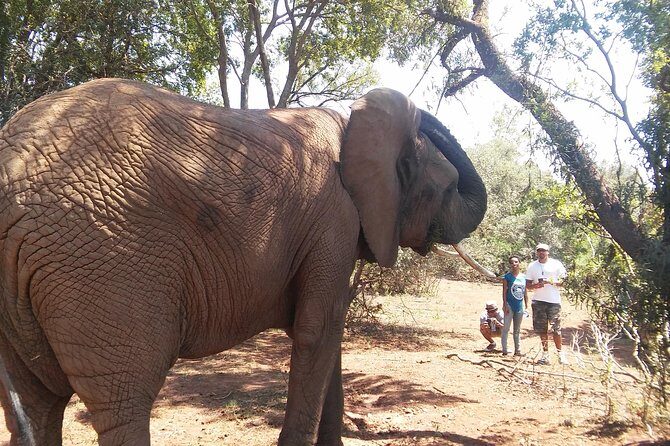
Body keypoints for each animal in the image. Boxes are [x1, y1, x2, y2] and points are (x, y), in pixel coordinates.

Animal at [0, 78, 486, 445]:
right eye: (448, 188)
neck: (353, 126)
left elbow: (328, 335)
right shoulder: (335, 219)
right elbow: (317, 331)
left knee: (36, 406)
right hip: (101, 264)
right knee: (123, 403)